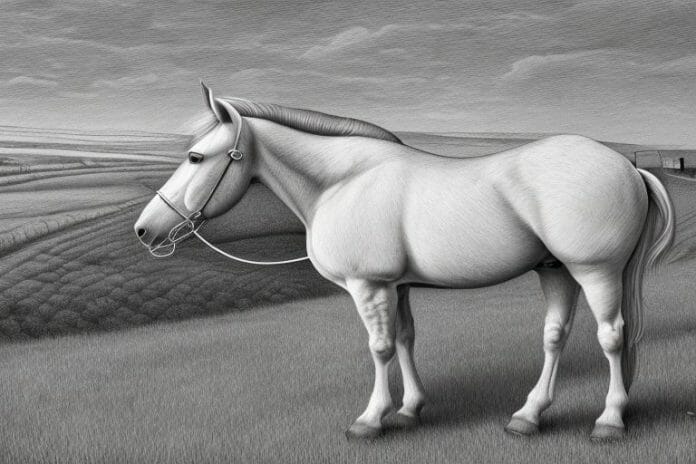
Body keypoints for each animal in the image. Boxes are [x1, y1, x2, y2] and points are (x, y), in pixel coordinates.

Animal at [134, 83, 675, 441]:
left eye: (196, 157)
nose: (144, 230)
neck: (344, 181)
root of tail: (627, 166)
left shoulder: (367, 285)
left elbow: (379, 348)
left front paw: (371, 419)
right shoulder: (397, 287)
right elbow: (405, 340)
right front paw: (411, 409)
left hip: (595, 271)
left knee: (612, 336)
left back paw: (609, 421)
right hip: (556, 271)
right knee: (555, 336)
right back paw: (528, 416)